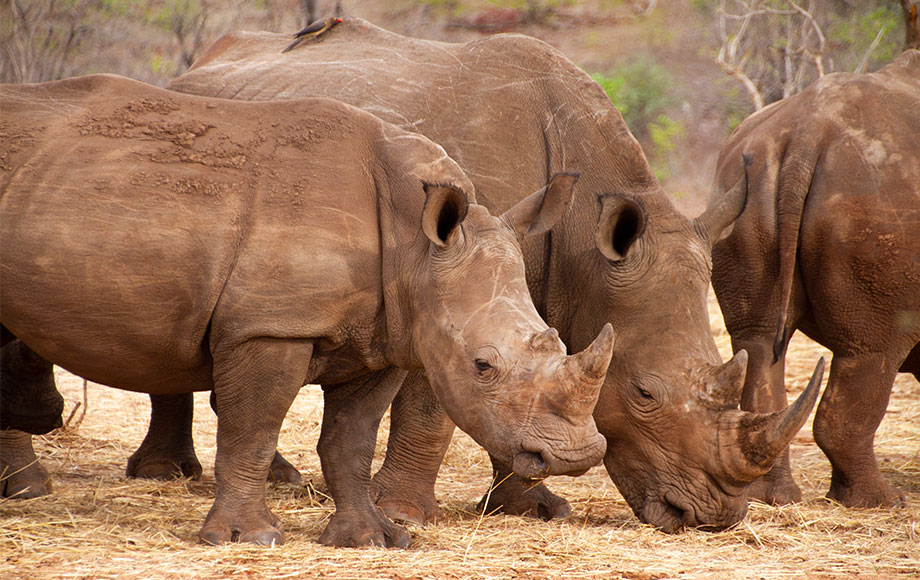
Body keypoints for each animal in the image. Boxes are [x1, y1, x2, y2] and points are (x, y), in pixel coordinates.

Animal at [1, 75, 620, 548]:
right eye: (482, 365)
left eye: (557, 341)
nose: (576, 456)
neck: (413, 245)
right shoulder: (270, 327)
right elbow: (253, 428)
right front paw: (248, 538)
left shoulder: (387, 336)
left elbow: (350, 441)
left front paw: (373, 539)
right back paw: (28, 493)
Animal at [72, 20, 824, 532]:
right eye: (642, 392)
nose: (712, 515)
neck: (587, 246)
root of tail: (201, 66)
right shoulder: (441, 278)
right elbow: (435, 405)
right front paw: (405, 513)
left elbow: (524, 391)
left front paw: (531, 506)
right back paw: (170, 475)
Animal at [708, 48, 916, 508]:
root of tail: (808, 132)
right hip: (875, 202)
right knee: (873, 349)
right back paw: (882, 501)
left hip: (745, 182)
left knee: (758, 340)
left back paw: (775, 497)